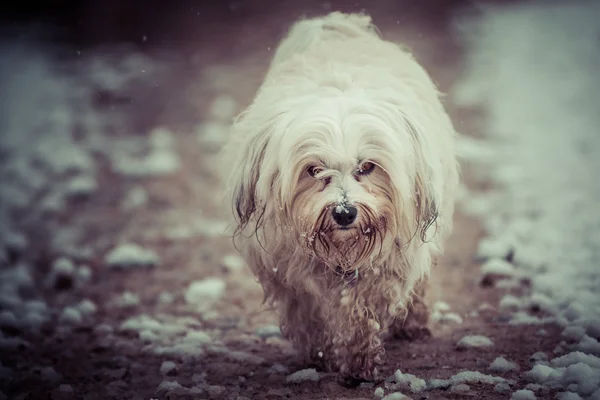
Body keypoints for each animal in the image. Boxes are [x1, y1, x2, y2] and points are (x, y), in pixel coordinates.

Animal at [220, 12, 460, 386]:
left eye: (368, 167)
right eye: (314, 170)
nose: (345, 212)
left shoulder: (386, 266)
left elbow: (360, 313)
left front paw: (359, 363)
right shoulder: (285, 272)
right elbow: (306, 315)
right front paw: (318, 355)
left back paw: (413, 323)